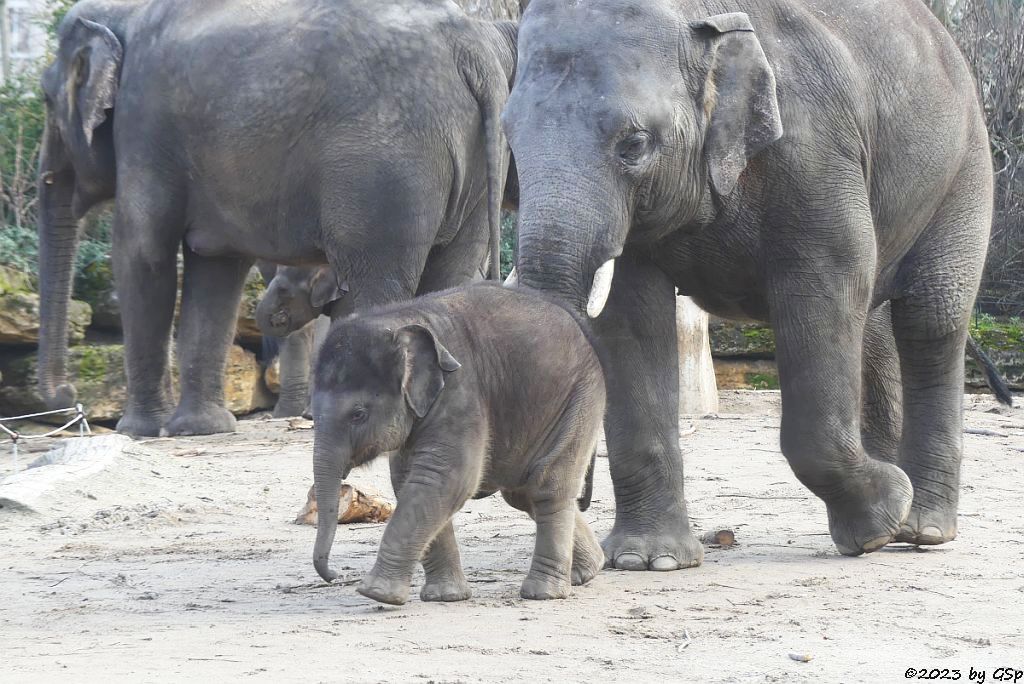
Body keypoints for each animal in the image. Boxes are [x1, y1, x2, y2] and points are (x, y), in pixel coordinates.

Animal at [36, 0, 516, 436]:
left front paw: (139, 432)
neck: (120, 12)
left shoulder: (144, 126)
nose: (68, 397)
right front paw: (201, 430)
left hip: (384, 167)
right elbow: (215, 271)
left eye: (45, 99)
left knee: (378, 282)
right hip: (468, 168)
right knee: (448, 275)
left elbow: (142, 252)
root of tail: (472, 50)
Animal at [307, 282, 602, 602]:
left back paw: (543, 593)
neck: (400, 317)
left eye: (358, 415)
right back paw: (587, 571)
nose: (334, 575)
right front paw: (444, 597)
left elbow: (445, 479)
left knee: (548, 485)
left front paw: (376, 593)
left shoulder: (460, 391)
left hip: (580, 396)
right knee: (523, 493)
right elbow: (410, 480)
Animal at [507, 0, 995, 565]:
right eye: (509, 139)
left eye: (634, 144)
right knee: (875, 331)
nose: (578, 498)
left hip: (964, 167)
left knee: (930, 320)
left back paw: (920, 528)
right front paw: (647, 560)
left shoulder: (815, 156)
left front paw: (881, 519)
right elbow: (629, 319)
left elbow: (826, 291)